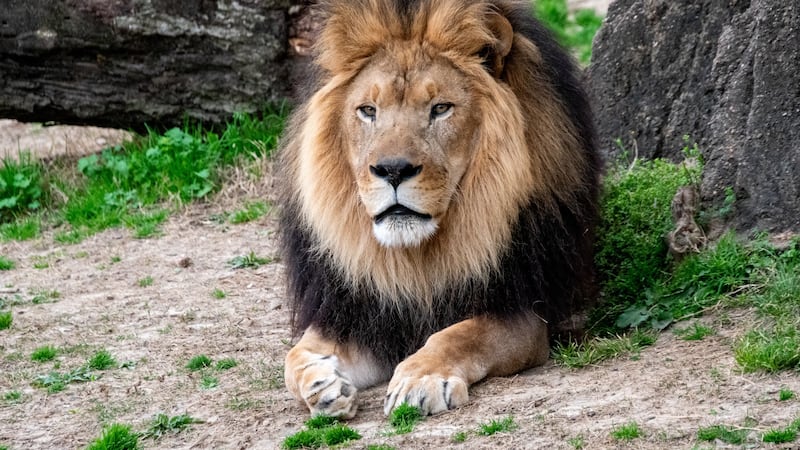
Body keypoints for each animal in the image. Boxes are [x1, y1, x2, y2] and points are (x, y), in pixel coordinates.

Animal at [278, 0, 601, 419]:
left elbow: (458, 335)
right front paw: (321, 382)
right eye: (368, 110)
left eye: (440, 108)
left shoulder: (521, 313)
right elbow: (294, 356)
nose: (392, 170)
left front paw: (420, 379)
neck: (417, 261)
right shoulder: (363, 316)